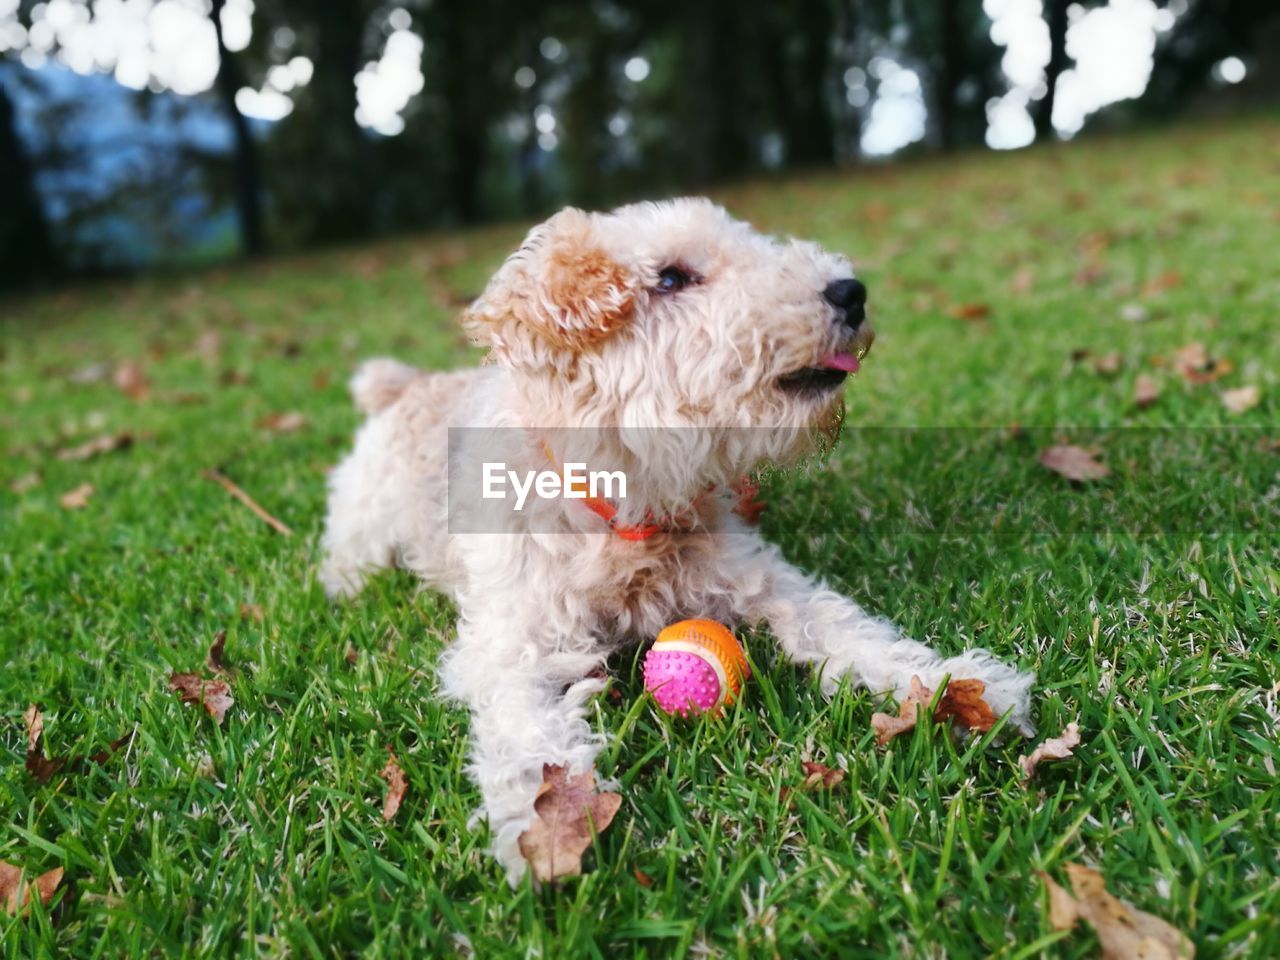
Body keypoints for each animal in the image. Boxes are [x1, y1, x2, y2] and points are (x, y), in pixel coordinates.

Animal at [320, 199, 1039, 885]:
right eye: (670, 278)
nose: (850, 291)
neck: (626, 510)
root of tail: (406, 384)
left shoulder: (762, 577)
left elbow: (845, 628)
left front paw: (960, 688)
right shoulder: (513, 644)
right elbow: (527, 738)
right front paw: (547, 828)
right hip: (364, 516)